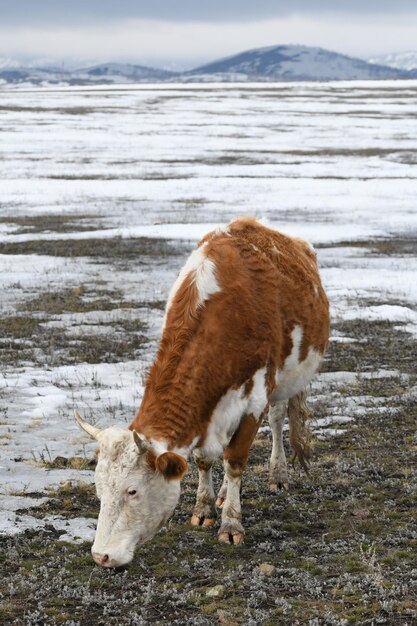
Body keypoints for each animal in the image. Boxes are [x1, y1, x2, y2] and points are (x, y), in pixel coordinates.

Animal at [75, 217, 328, 568]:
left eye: (132, 490)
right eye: (99, 489)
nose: (102, 556)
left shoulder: (256, 397)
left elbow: (235, 459)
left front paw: (232, 525)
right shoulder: (206, 414)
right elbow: (203, 459)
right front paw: (204, 508)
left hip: (288, 381)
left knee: (277, 420)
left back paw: (277, 474)